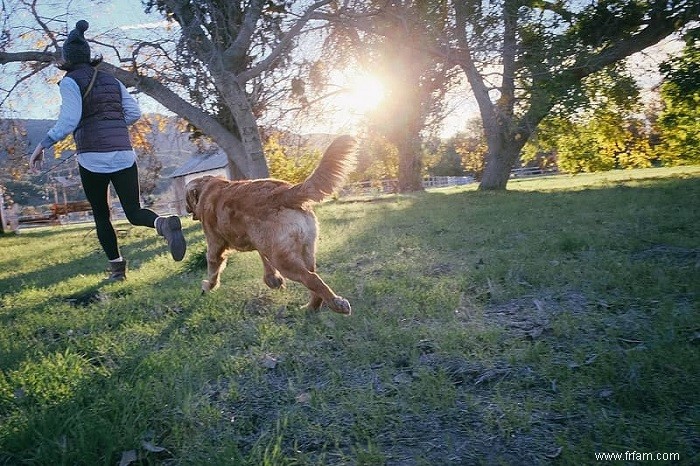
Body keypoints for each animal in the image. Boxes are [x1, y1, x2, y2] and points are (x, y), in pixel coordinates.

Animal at [186, 135, 358, 316]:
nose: (186, 209)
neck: (207, 188)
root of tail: (285, 192)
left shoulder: (215, 245)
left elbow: (213, 268)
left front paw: (208, 286)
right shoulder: (260, 243)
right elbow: (264, 259)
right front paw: (273, 279)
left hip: (283, 260)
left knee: (311, 278)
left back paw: (336, 304)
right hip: (304, 250)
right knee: (313, 280)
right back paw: (311, 307)